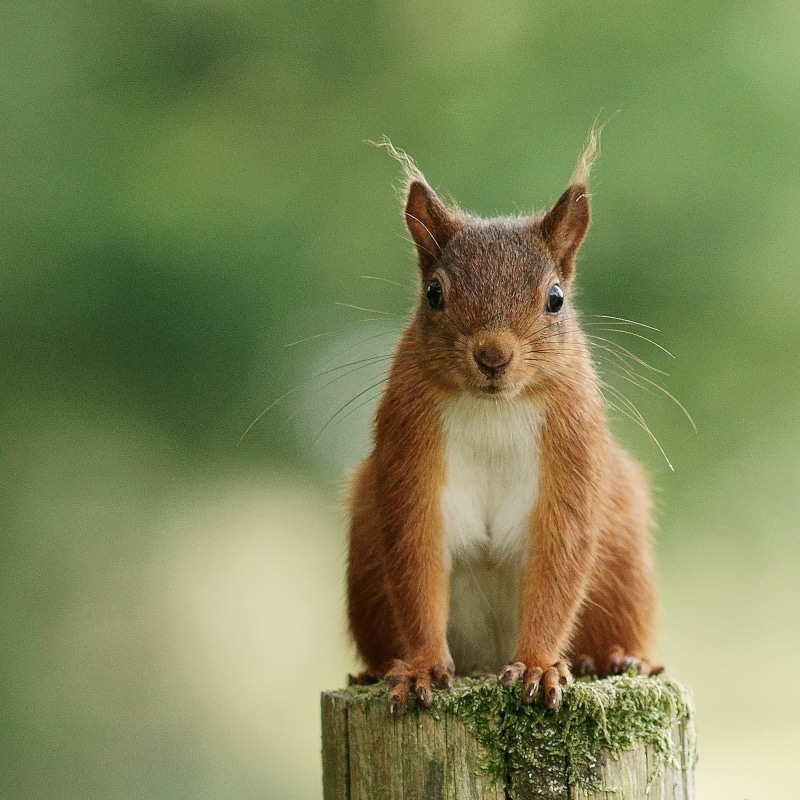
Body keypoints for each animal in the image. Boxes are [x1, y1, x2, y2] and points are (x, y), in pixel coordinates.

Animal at [346, 134, 658, 716]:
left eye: (556, 298)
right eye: (434, 293)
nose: (492, 355)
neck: (494, 409)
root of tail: (486, 658)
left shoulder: (574, 452)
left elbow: (559, 560)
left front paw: (538, 666)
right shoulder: (409, 450)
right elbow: (416, 558)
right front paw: (420, 667)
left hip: (623, 561)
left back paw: (613, 658)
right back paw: (374, 670)